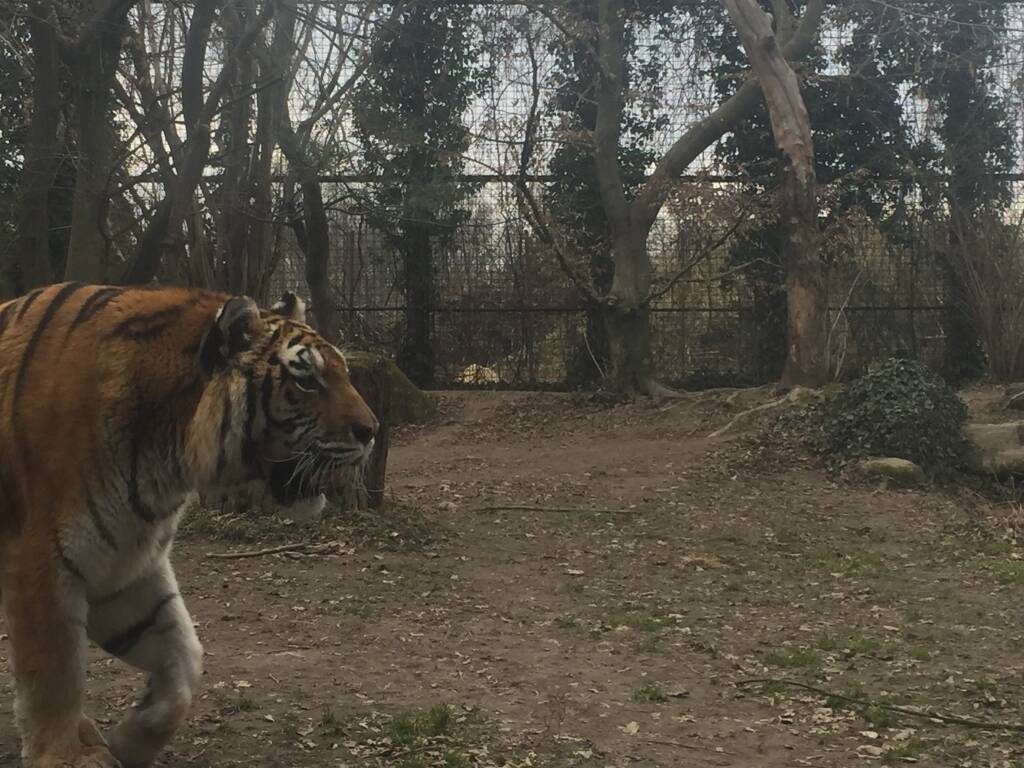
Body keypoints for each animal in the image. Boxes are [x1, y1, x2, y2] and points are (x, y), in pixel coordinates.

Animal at [0, 282, 378, 768]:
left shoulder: (123, 565)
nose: (371, 430)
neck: (164, 456)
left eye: (344, 373)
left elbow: (185, 661)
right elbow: (53, 671)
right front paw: (65, 756)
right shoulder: (42, 562)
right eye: (306, 379)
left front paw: (129, 742)